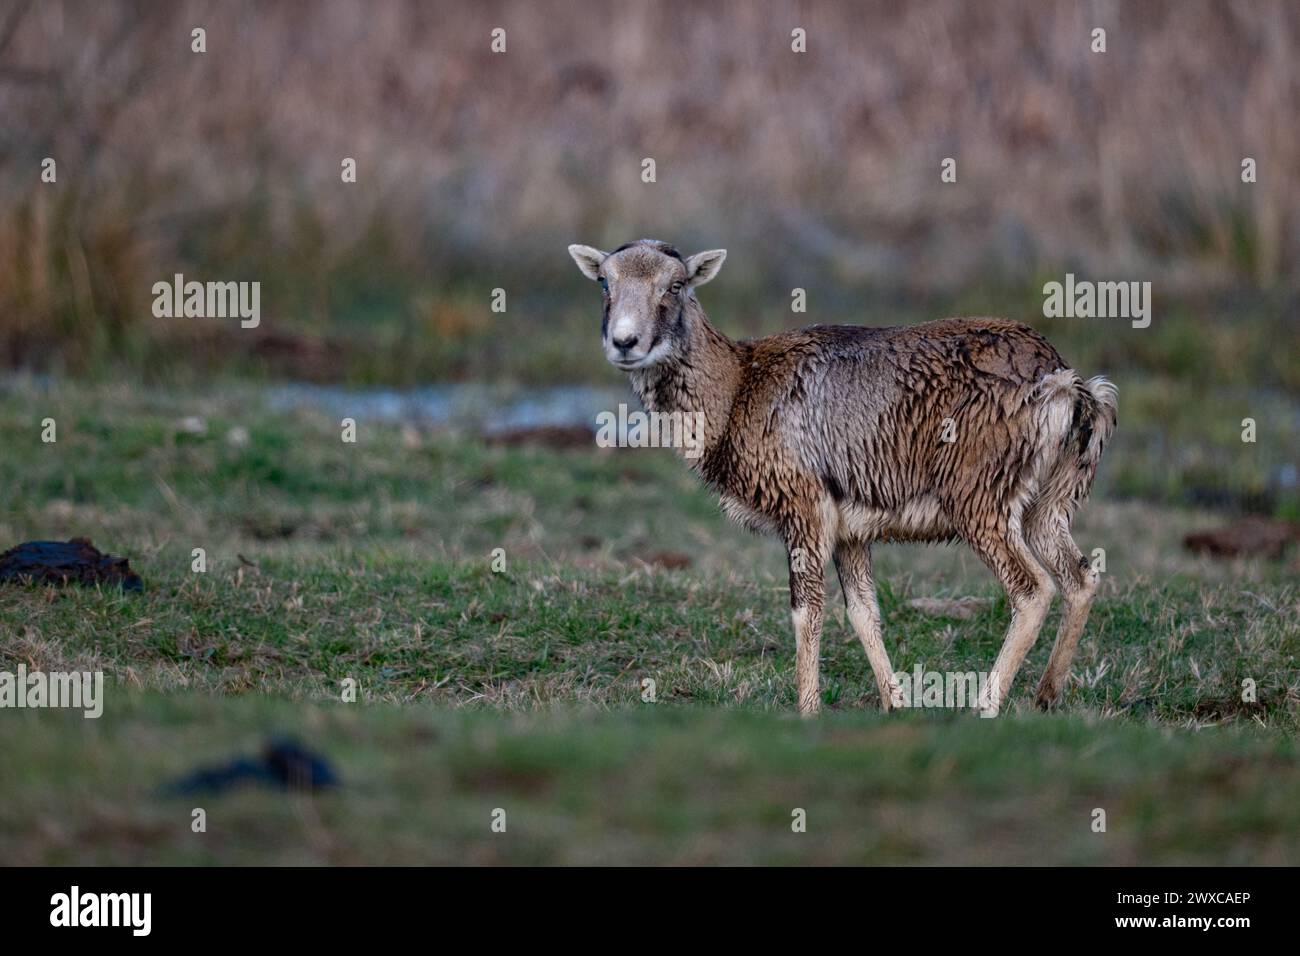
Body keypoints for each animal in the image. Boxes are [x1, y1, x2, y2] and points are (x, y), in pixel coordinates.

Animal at [564, 239, 1112, 717]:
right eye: (604, 282)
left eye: (675, 284)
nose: (625, 342)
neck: (738, 387)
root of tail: (1063, 382)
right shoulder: (851, 531)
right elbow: (863, 611)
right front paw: (894, 704)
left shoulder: (804, 510)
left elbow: (807, 610)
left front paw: (807, 711)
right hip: (1048, 504)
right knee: (1080, 577)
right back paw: (1045, 698)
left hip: (981, 501)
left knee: (1033, 588)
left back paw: (985, 706)